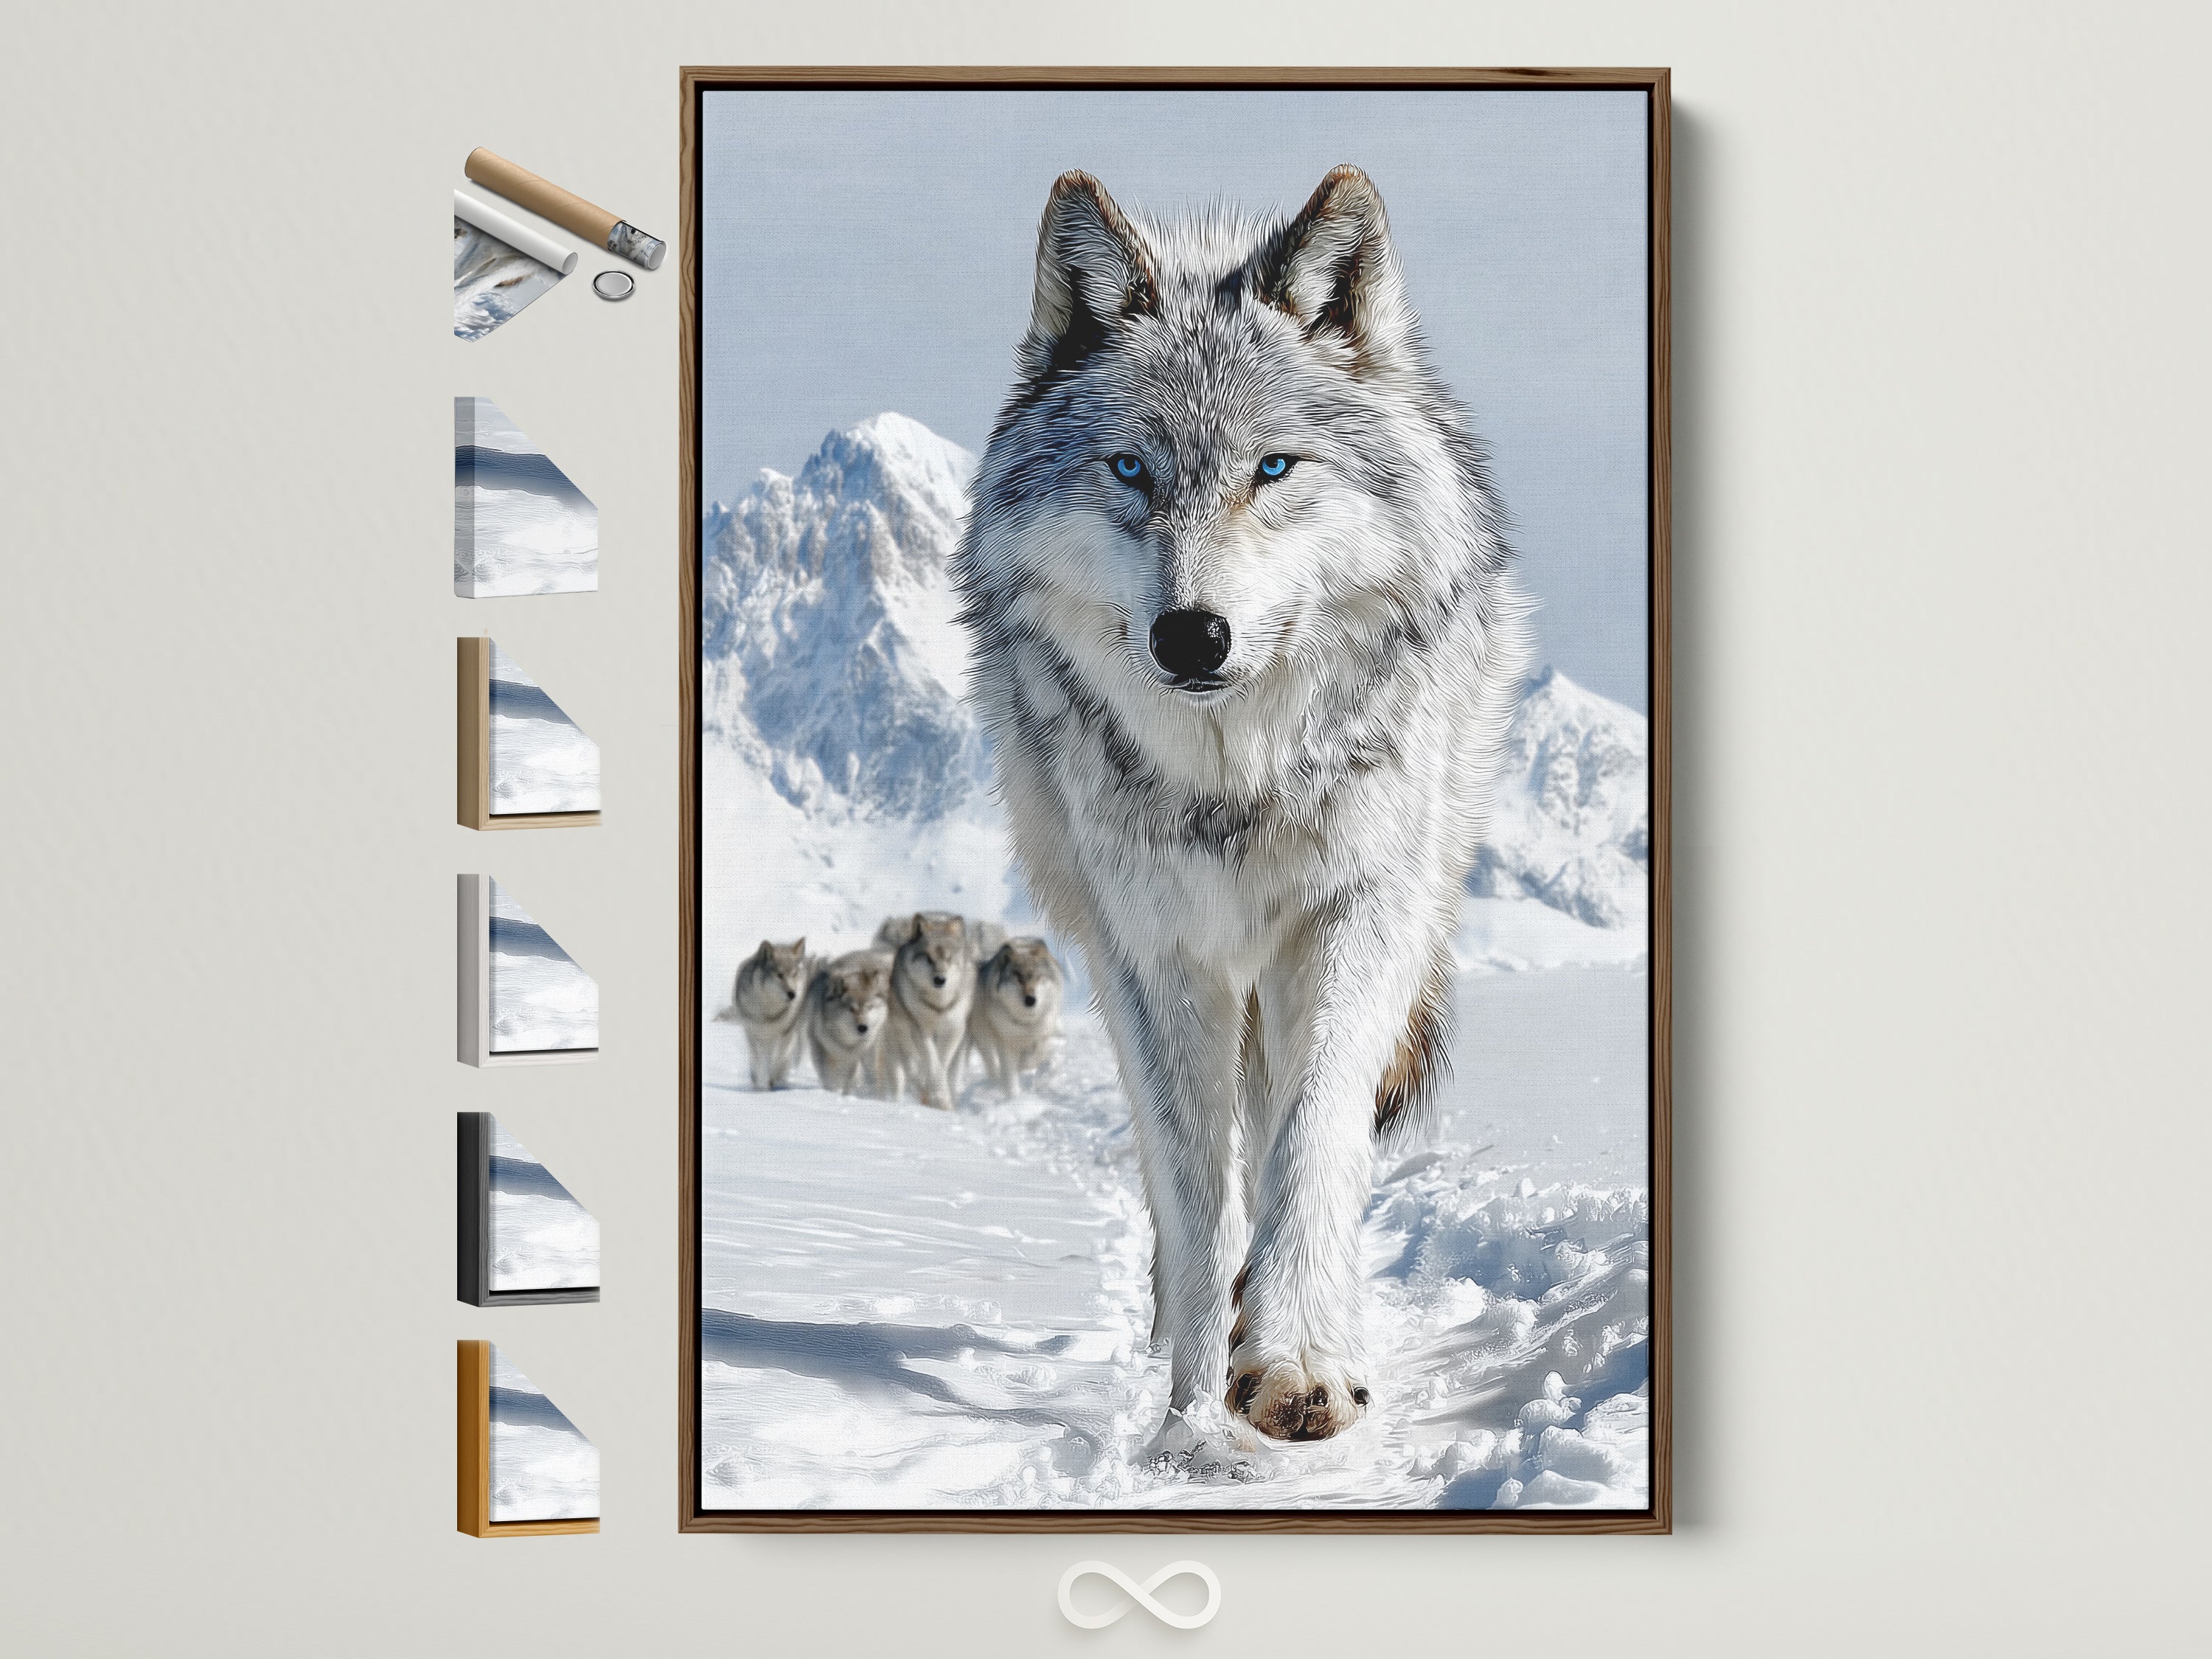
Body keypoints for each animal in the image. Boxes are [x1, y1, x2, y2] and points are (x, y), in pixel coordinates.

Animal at [720, 937, 812, 1089]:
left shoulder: (786, 1034)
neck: (769, 1012)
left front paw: (773, 1080)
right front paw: (762, 1086)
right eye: (779, 975)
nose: (793, 994)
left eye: (794, 974)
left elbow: (779, 1060)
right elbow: (760, 1063)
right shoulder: (755, 1034)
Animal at [803, 949, 893, 1097]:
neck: (848, 1044)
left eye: (870, 1007)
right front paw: (832, 1093)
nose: (863, 1028)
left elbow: (851, 1080)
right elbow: (829, 1077)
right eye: (852, 1009)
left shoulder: (859, 1056)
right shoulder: (823, 1049)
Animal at [875, 911, 979, 1109]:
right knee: (908, 1076)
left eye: (948, 958)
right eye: (929, 958)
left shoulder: (953, 1030)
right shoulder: (921, 1030)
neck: (938, 1005)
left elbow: (941, 1063)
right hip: (898, 1052)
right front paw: (937, 1096)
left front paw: (941, 1099)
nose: (940, 980)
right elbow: (933, 1063)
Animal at [968, 938, 1065, 1095]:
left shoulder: (1041, 1036)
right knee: (992, 1065)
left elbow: (1032, 1058)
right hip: (984, 1040)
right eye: (1018, 977)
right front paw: (1013, 1096)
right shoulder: (1005, 1043)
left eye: (1037, 977)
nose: (1031, 1000)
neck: (1025, 1021)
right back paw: (997, 1082)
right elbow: (1010, 1074)